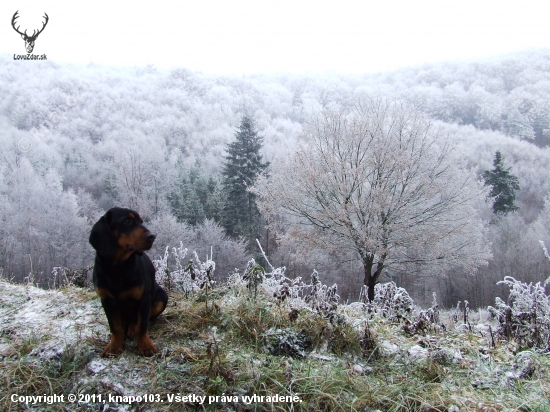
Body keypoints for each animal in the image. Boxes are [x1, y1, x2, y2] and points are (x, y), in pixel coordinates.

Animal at [89, 208, 168, 356]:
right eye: (127, 221)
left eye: (141, 221)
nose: (152, 236)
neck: (117, 268)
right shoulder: (106, 300)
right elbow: (115, 327)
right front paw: (114, 346)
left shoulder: (144, 299)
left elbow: (142, 326)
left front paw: (145, 346)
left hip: (162, 297)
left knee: (138, 320)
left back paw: (132, 329)